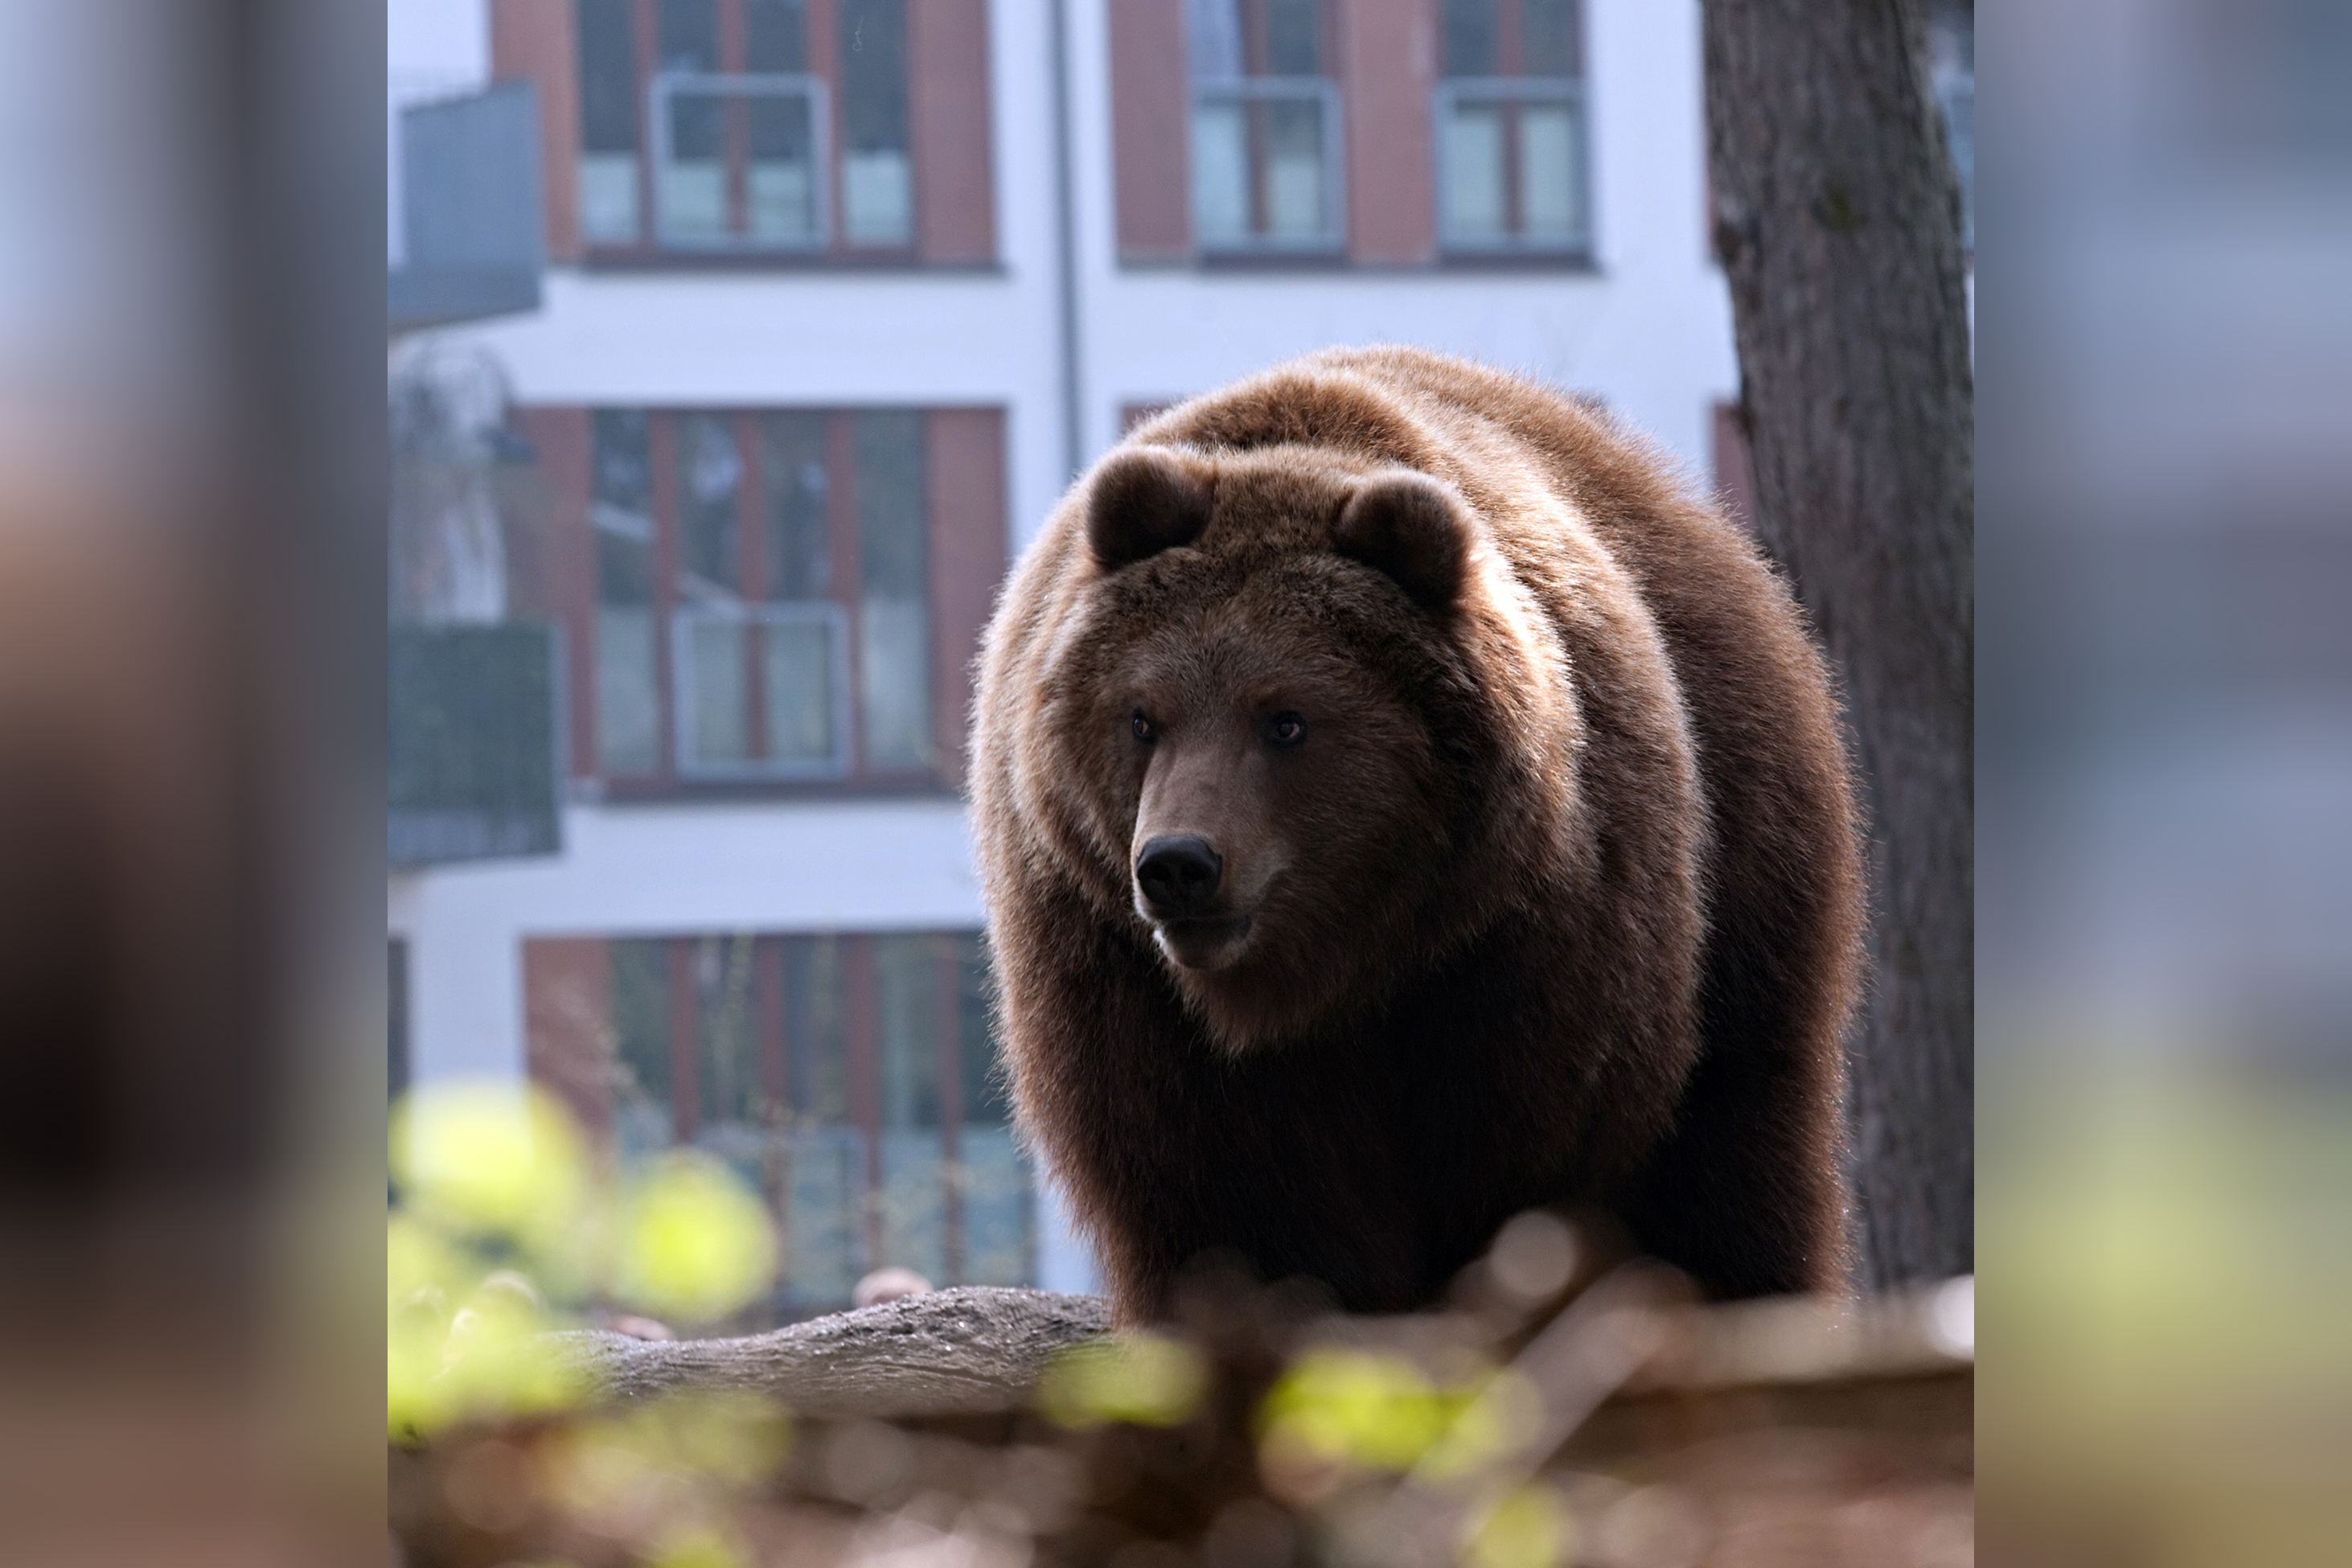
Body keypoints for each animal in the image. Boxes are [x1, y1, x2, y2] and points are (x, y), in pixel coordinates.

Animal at [970, 346, 1862, 1321]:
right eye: (1142, 717)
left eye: (1285, 720)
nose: (1178, 865)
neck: (1334, 970)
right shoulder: (1123, 980)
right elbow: (1237, 1201)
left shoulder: (1532, 947)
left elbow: (1523, 1163)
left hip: (1748, 882)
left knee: (1736, 1153)